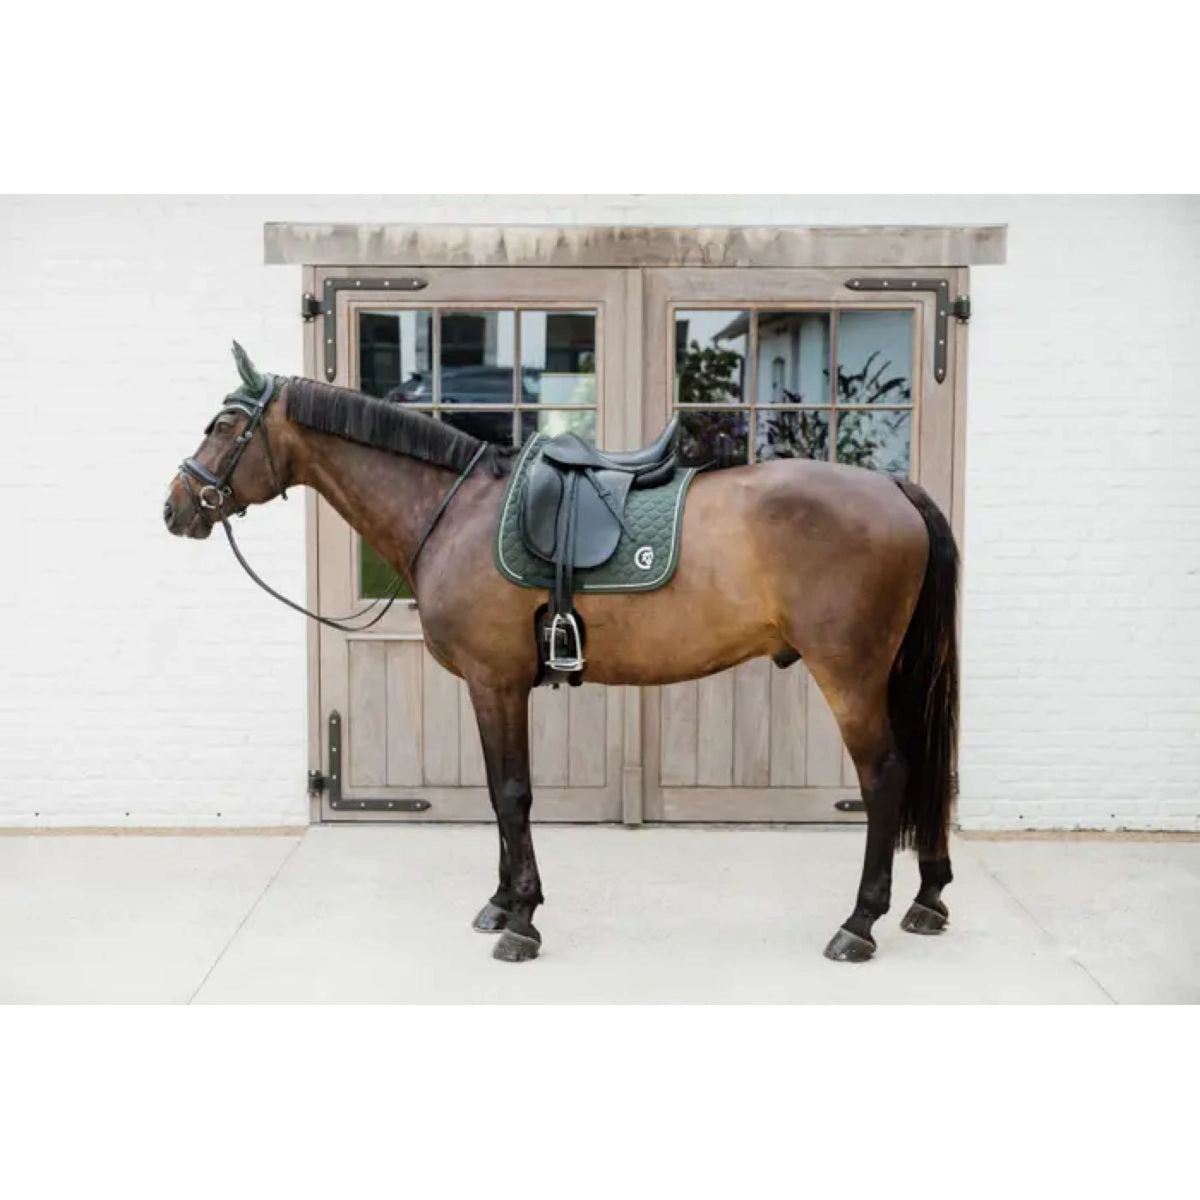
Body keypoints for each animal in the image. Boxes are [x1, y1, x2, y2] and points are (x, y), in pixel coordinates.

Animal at [163, 344, 959, 965]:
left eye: (226, 425)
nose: (176, 506)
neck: (454, 513)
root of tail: (895, 488)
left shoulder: (496, 682)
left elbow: (513, 794)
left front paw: (520, 921)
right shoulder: (491, 686)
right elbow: (497, 792)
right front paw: (500, 902)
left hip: (850, 676)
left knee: (887, 776)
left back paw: (859, 924)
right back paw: (928, 899)